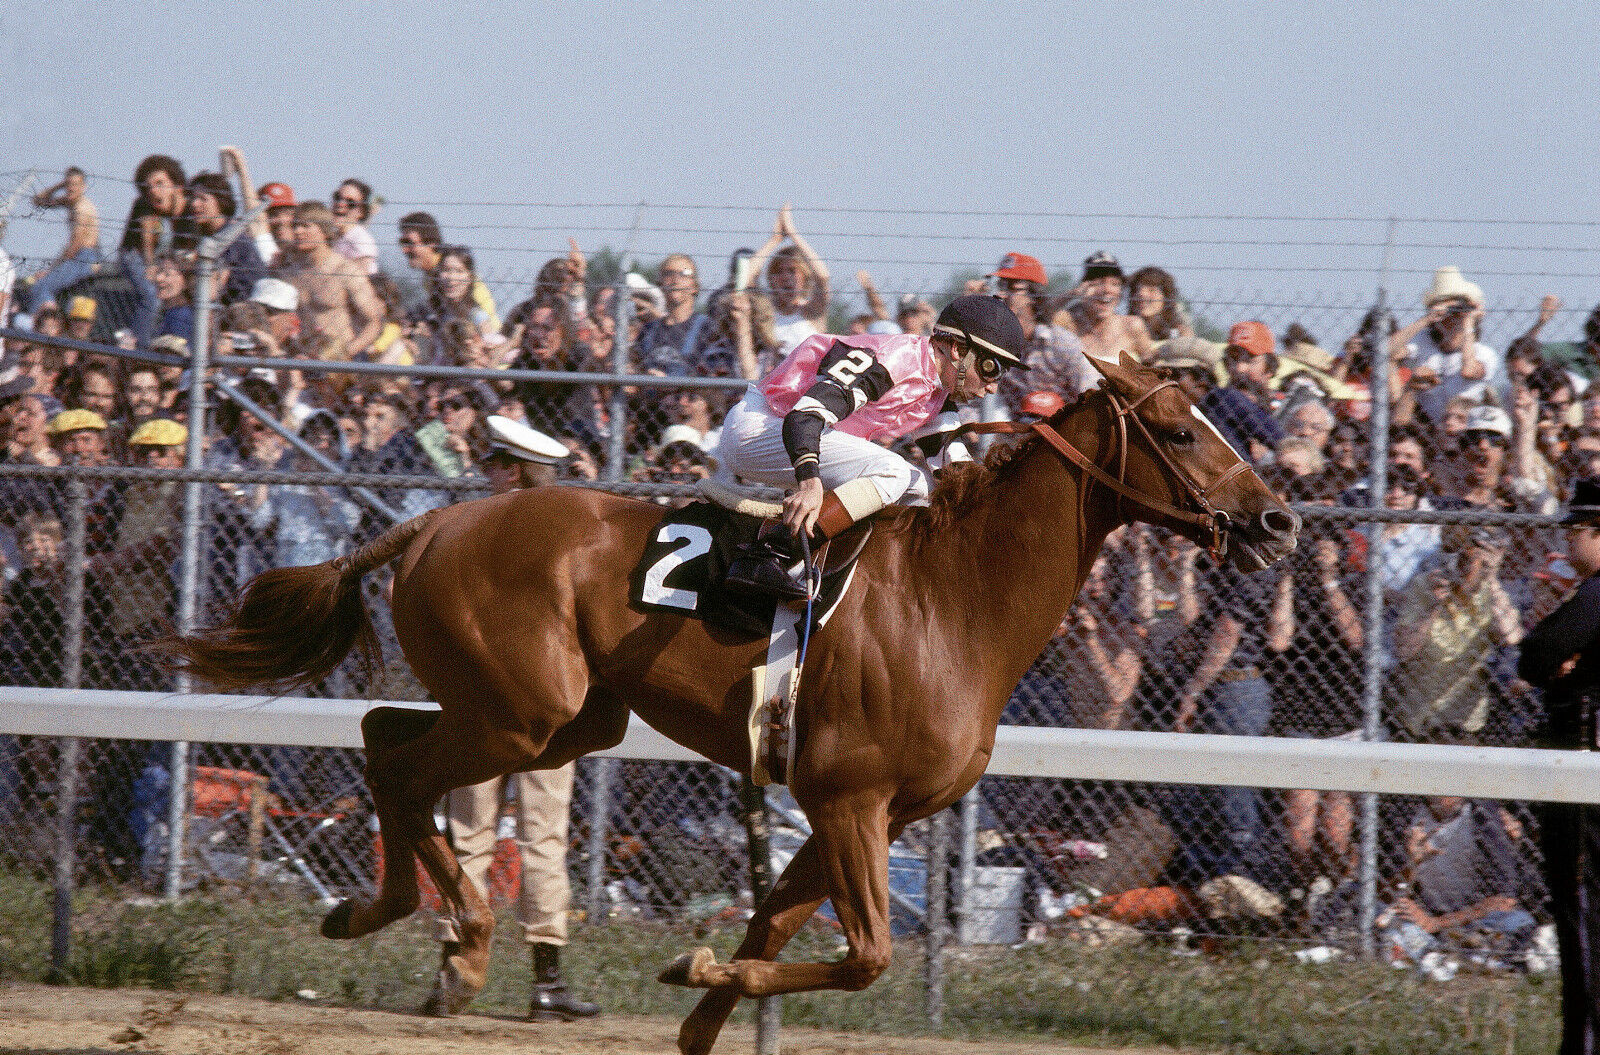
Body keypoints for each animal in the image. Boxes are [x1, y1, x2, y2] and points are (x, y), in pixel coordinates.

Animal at [168, 357, 1299, 1055]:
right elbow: (861, 955)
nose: (1278, 519)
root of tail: (440, 520)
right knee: (402, 763)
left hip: (560, 715)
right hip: (525, 707)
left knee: (383, 735)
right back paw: (462, 938)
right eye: (1176, 430)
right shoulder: (848, 799)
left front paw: (702, 985)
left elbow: (771, 931)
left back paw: (381, 908)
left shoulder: (860, 809)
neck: (953, 598)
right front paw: (696, 955)